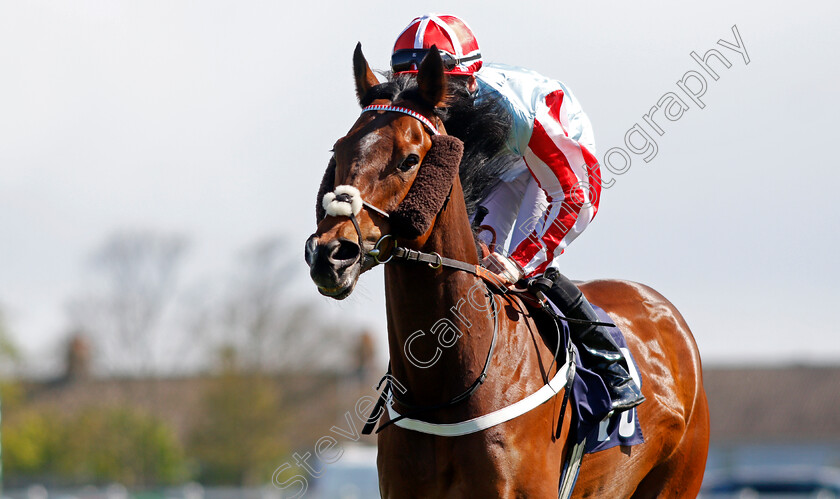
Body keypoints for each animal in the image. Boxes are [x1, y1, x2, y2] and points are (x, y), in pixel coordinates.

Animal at [304, 45, 708, 498]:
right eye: (338, 152)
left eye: (409, 159)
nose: (330, 254)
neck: (444, 389)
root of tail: (664, 310)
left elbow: (574, 193)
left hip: (678, 478)